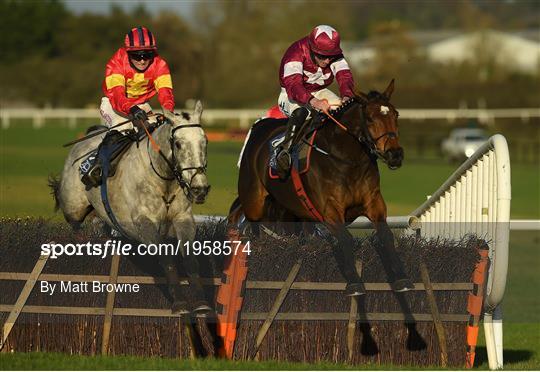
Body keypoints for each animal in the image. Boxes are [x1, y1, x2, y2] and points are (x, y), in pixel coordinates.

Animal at [50, 101, 211, 314]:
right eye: (178, 144)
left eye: (205, 142)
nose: (199, 188)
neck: (163, 179)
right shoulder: (143, 224)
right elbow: (166, 259)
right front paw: (179, 302)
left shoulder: (183, 218)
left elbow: (191, 259)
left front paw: (201, 301)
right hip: (73, 207)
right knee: (75, 224)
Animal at [232, 80, 414, 294]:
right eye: (369, 118)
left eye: (396, 114)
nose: (395, 154)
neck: (347, 159)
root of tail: (260, 126)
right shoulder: (330, 210)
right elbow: (345, 238)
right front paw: (354, 283)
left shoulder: (373, 202)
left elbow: (385, 235)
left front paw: (402, 279)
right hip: (253, 202)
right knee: (254, 230)